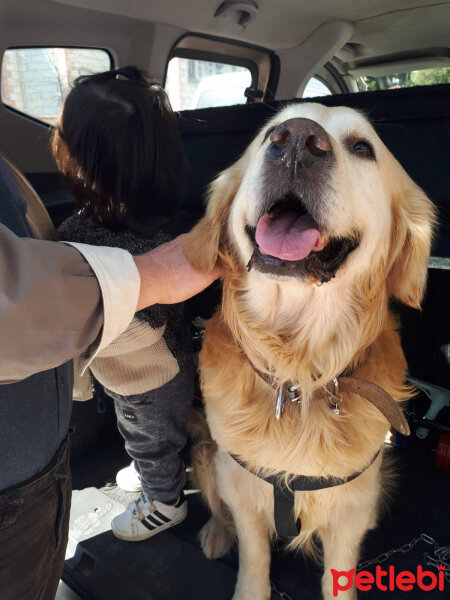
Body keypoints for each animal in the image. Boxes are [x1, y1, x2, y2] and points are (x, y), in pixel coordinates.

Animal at [182, 104, 436, 600]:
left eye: (362, 147)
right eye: (267, 135)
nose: (297, 140)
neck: (297, 376)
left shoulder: (353, 508)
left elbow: (340, 572)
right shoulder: (241, 484)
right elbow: (253, 556)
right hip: (207, 454)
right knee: (217, 508)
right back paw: (216, 534)